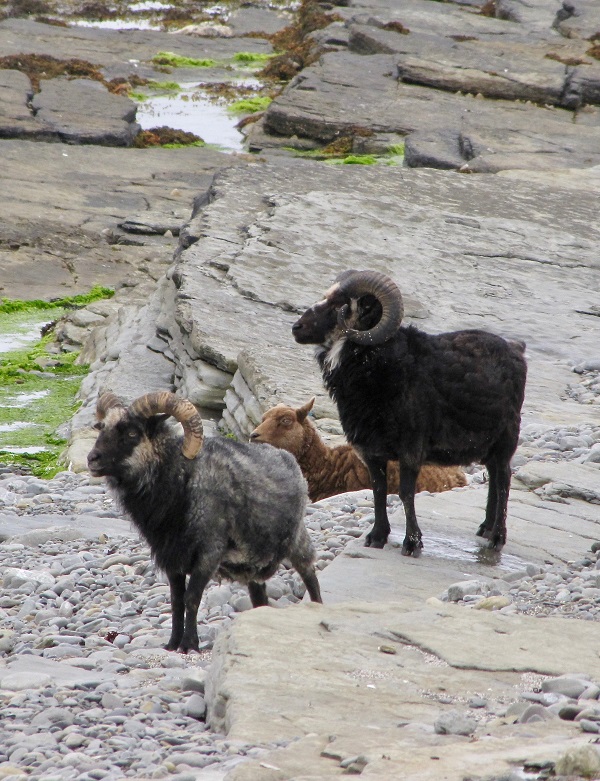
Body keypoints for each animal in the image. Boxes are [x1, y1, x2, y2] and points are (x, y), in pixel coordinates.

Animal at [86, 390, 324, 652]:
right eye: (102, 428)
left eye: (131, 433)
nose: (92, 459)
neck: (182, 479)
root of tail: (288, 458)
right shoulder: (172, 557)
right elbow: (176, 601)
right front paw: (172, 643)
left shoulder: (209, 552)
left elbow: (192, 598)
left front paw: (189, 644)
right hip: (253, 563)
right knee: (259, 594)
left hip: (298, 539)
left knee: (309, 574)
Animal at [292, 268, 528, 556]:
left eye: (341, 305)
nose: (296, 328)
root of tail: (516, 350)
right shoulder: (371, 449)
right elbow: (378, 490)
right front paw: (377, 537)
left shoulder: (411, 448)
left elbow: (405, 492)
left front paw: (412, 543)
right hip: (489, 443)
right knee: (494, 477)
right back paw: (485, 528)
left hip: (507, 436)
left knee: (504, 479)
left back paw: (496, 538)